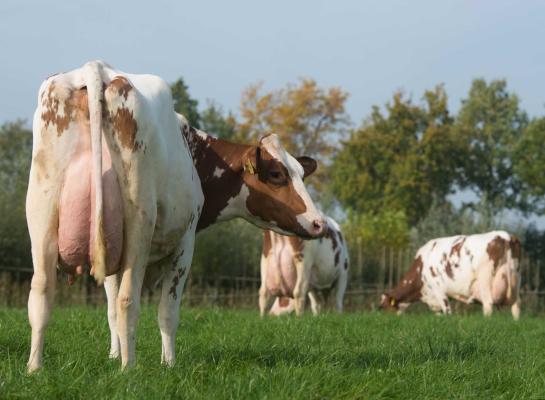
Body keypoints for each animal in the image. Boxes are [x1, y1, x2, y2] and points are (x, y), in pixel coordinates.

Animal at [25, 61, 326, 372]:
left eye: (301, 174)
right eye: (277, 174)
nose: (319, 223)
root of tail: (97, 68)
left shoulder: (111, 253)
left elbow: (110, 310)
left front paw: (114, 355)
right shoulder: (185, 244)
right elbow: (167, 312)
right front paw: (167, 364)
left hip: (42, 213)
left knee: (42, 294)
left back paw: (35, 368)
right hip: (138, 222)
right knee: (127, 300)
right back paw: (128, 369)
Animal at [380, 231, 520, 318]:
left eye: (383, 307)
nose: (382, 317)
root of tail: (505, 236)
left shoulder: (439, 290)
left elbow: (447, 312)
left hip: (485, 279)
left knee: (488, 304)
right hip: (515, 278)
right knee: (516, 307)